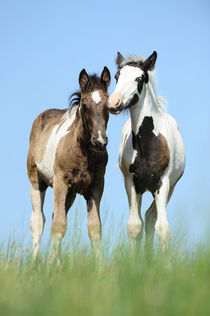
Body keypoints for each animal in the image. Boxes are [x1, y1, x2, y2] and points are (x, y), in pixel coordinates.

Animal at [27, 66, 110, 262]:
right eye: (85, 105)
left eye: (108, 105)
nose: (99, 141)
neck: (83, 154)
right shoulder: (60, 183)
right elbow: (58, 225)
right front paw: (49, 266)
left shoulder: (95, 188)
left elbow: (95, 228)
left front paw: (101, 267)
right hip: (37, 182)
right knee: (38, 221)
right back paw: (34, 263)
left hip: (71, 194)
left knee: (54, 215)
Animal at [108, 50, 185, 251]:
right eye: (117, 76)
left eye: (139, 78)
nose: (113, 103)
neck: (149, 143)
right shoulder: (131, 184)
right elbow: (134, 226)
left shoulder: (163, 183)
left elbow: (163, 228)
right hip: (143, 189)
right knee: (146, 219)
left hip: (168, 188)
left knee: (152, 218)